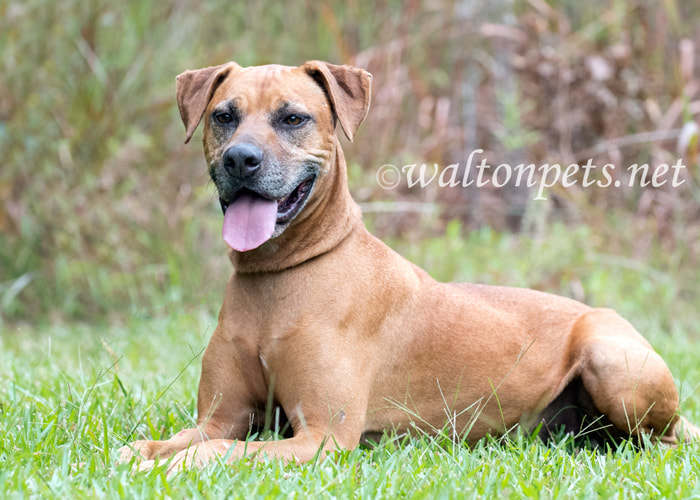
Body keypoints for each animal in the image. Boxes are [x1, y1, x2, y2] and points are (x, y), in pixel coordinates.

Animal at [117, 59, 696, 472]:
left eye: (293, 118)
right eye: (224, 116)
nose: (241, 159)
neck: (278, 277)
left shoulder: (322, 436)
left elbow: (219, 452)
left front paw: (174, 465)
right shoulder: (222, 417)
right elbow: (165, 442)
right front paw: (141, 453)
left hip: (611, 358)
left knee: (660, 442)